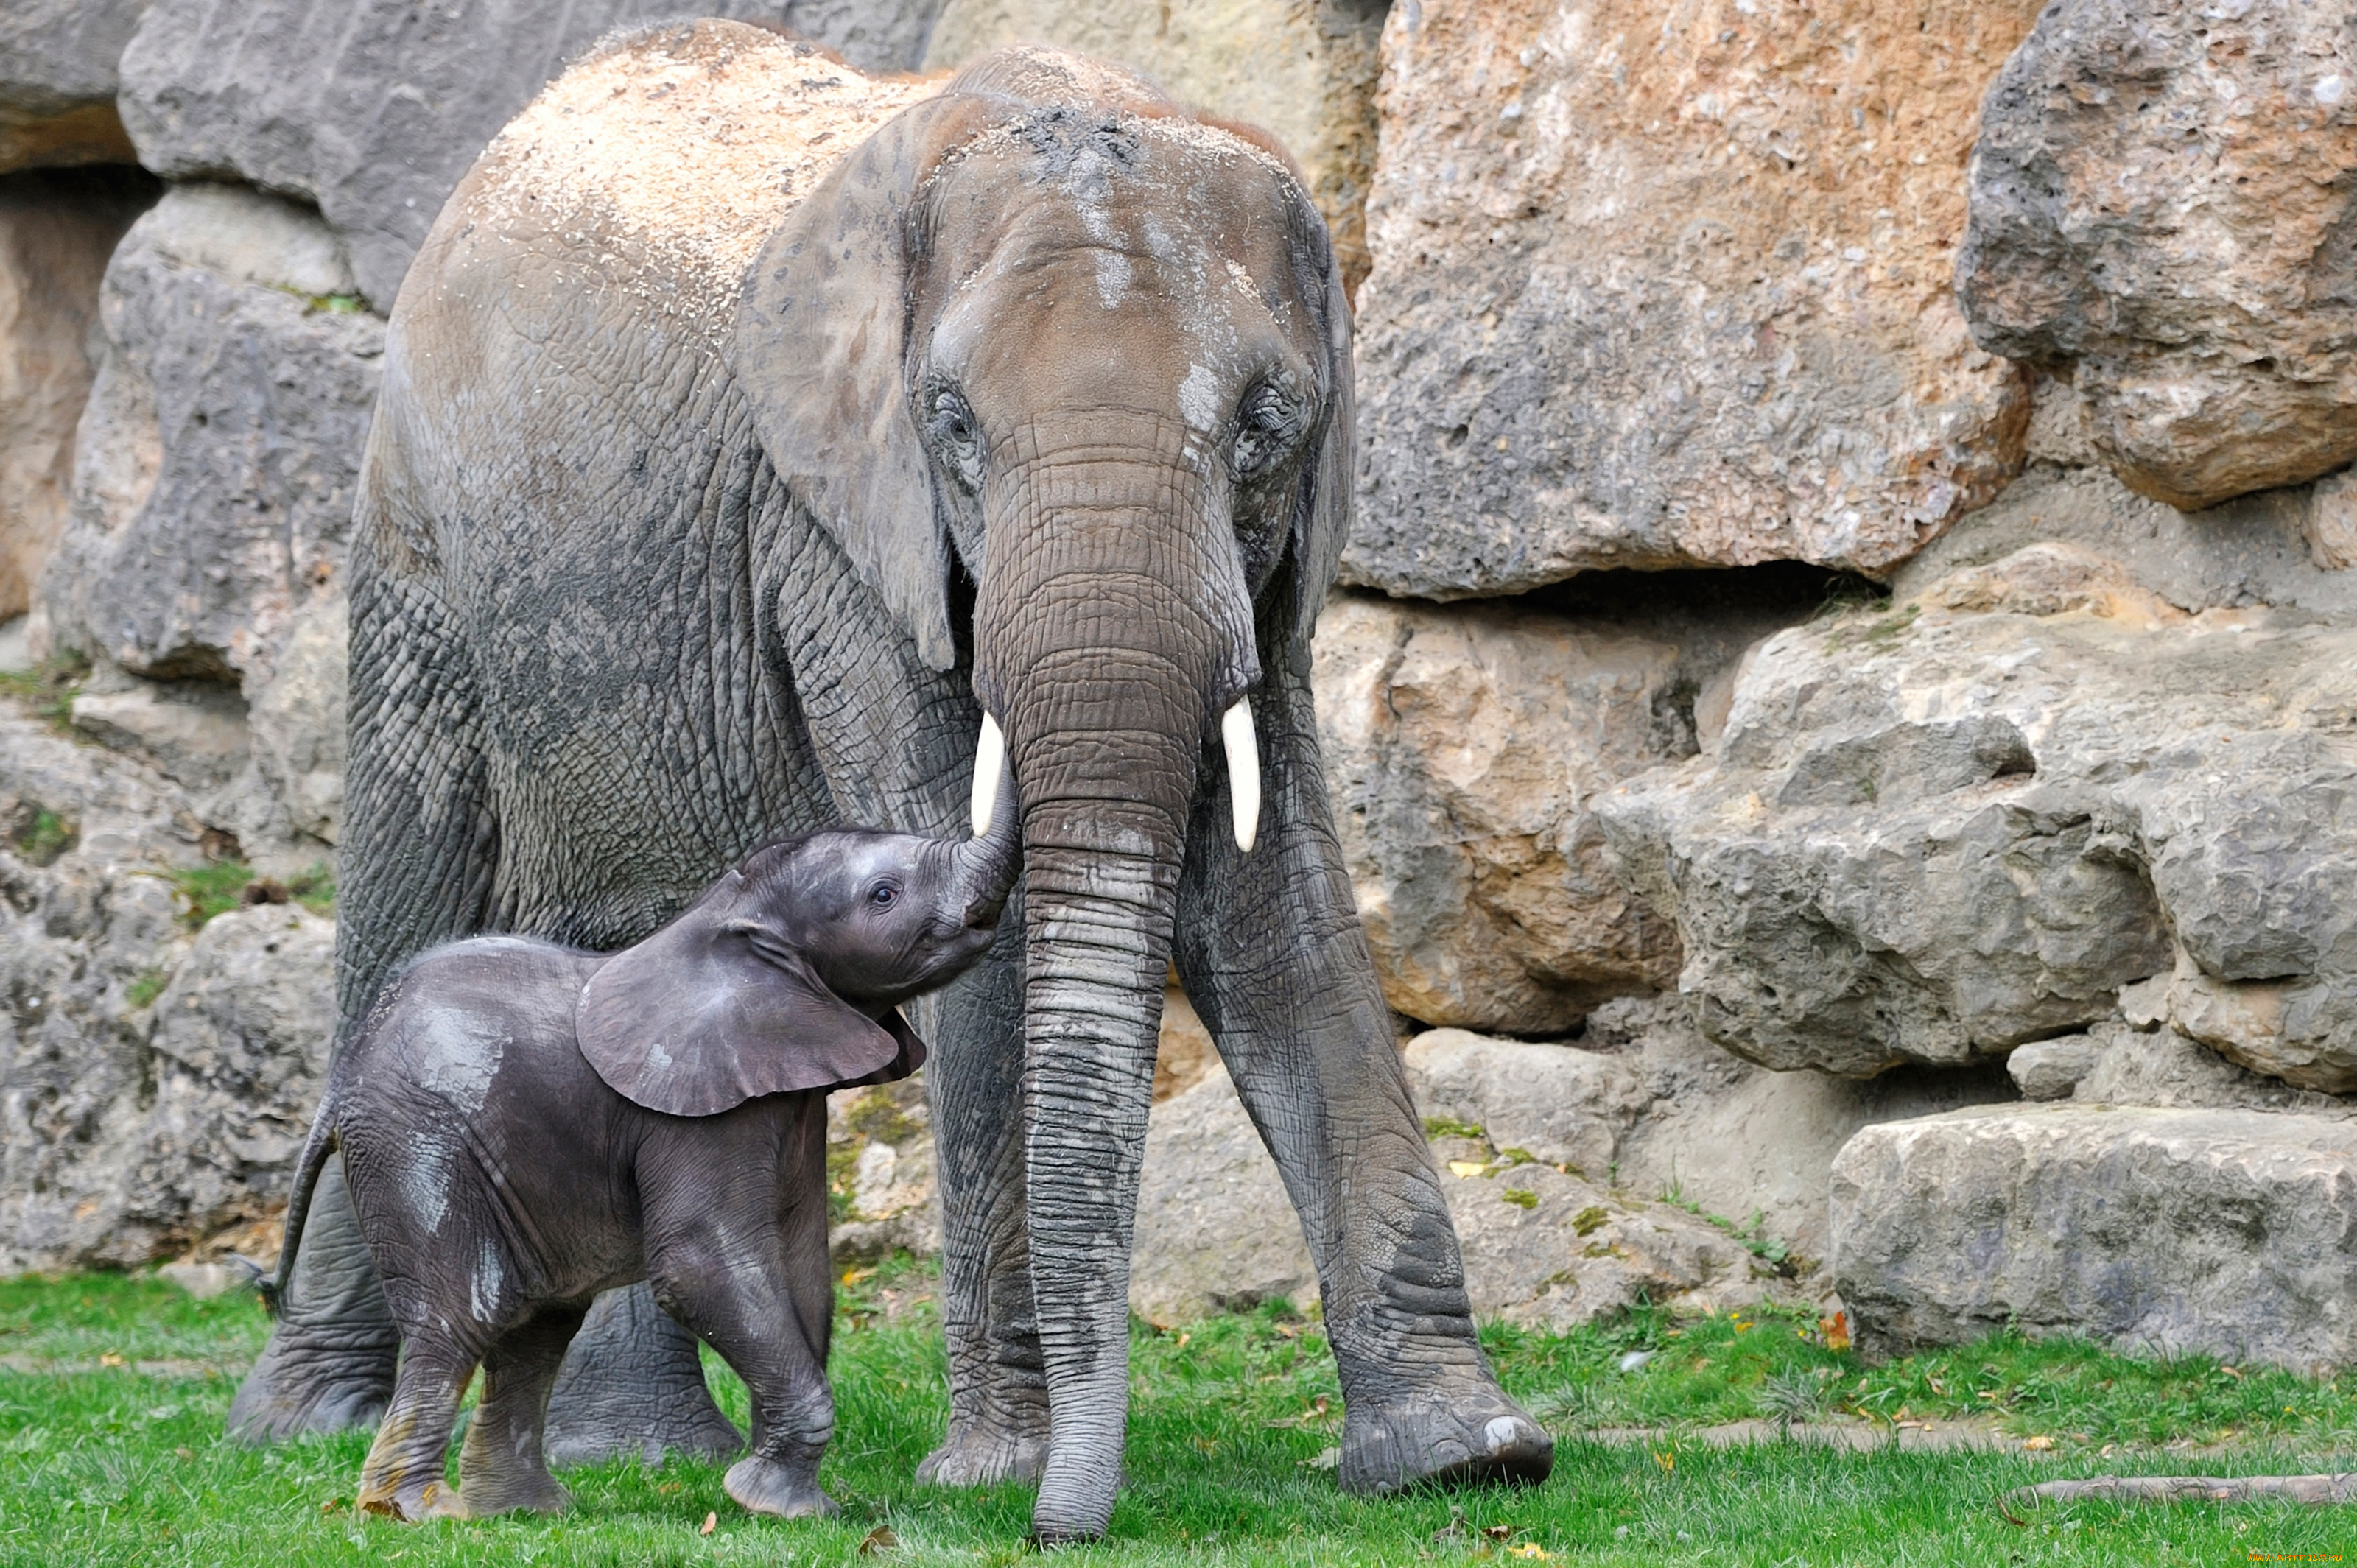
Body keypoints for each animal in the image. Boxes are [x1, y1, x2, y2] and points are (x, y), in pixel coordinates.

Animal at [270, 782, 1022, 1518]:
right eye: (884, 894)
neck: (731, 915)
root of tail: (340, 1080)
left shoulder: (790, 1097)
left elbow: (803, 1267)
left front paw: (798, 1504)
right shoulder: (695, 1109)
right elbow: (701, 1263)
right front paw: (774, 1505)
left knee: (539, 1325)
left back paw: (525, 1512)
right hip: (414, 1142)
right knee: (465, 1315)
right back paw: (414, 1513)